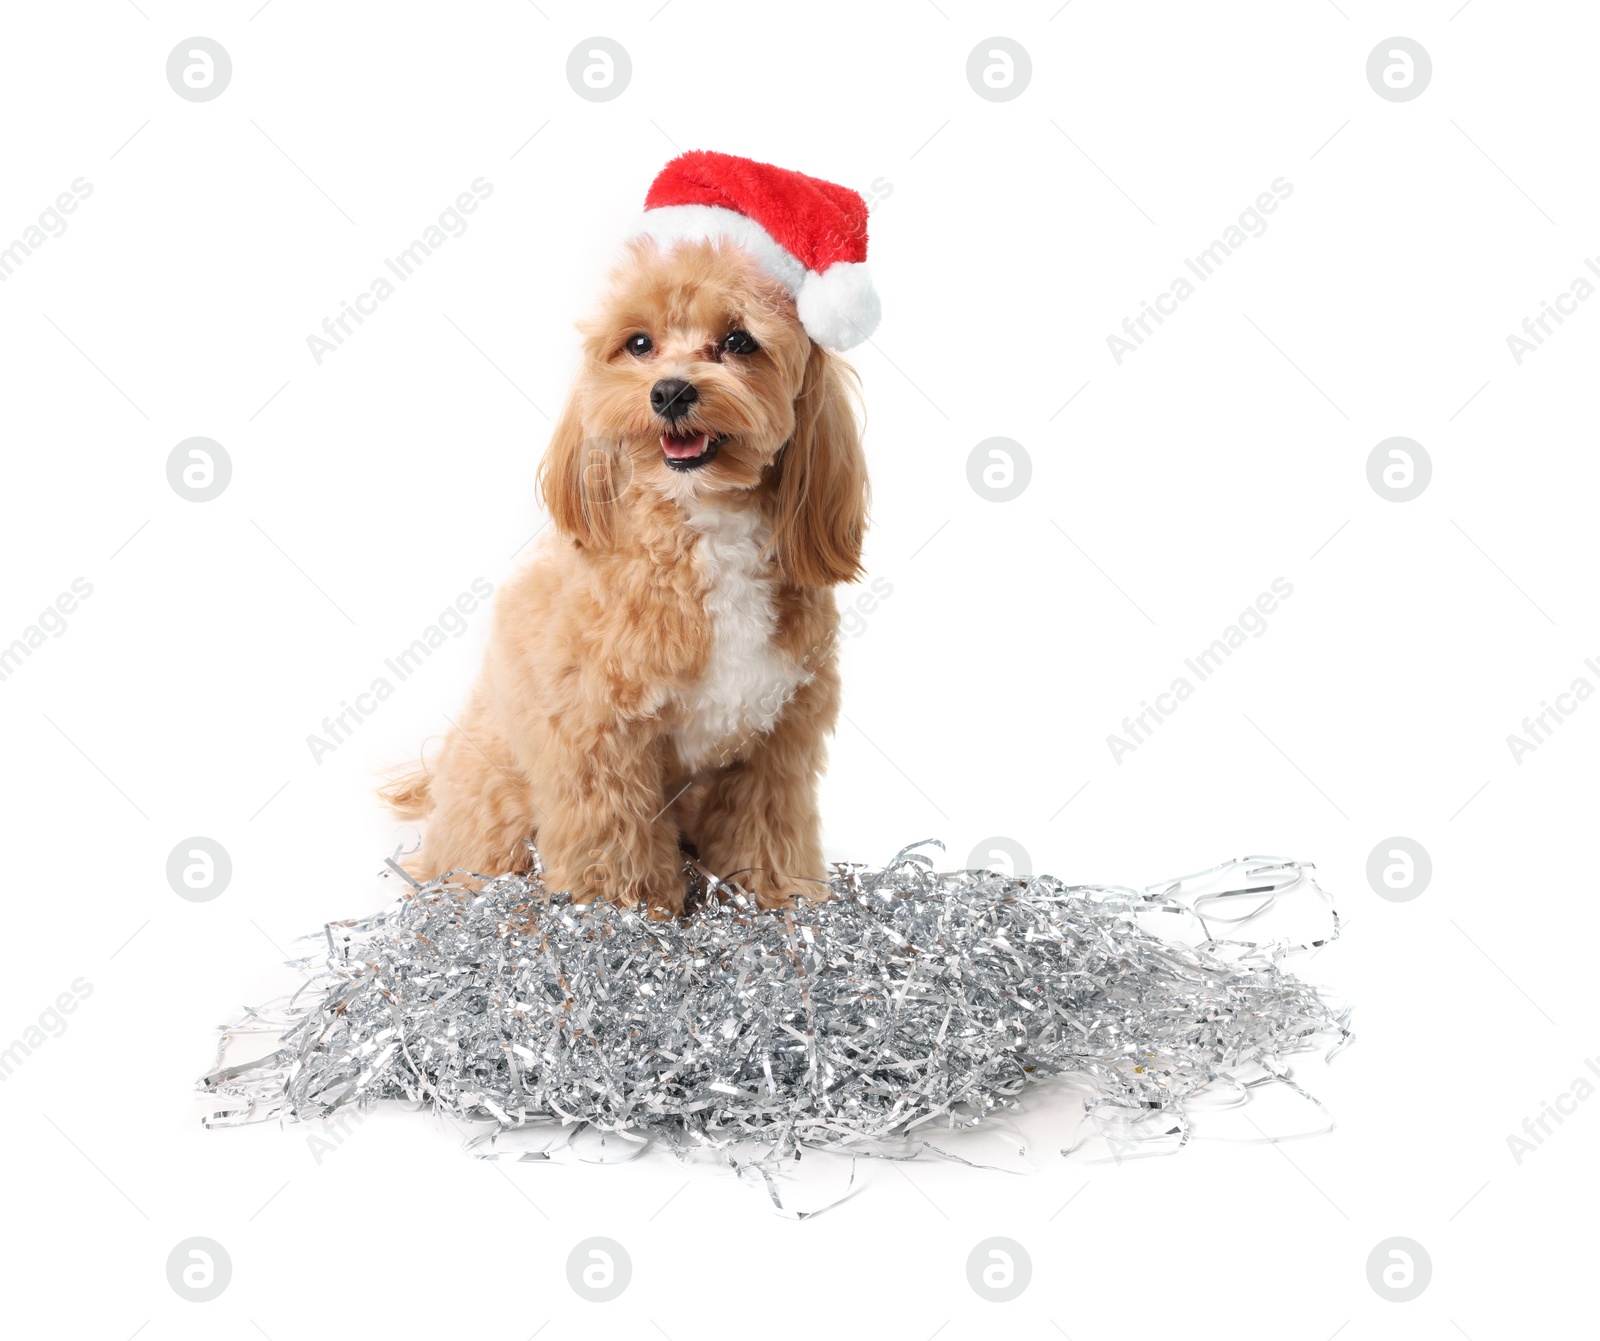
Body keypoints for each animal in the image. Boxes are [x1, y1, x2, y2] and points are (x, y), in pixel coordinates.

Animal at [379, 152, 876, 921]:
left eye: (739, 341)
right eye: (638, 343)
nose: (670, 391)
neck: (706, 525)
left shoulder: (775, 743)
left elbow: (768, 831)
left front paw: (778, 902)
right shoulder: (599, 738)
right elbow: (614, 844)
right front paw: (624, 919)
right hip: (497, 797)